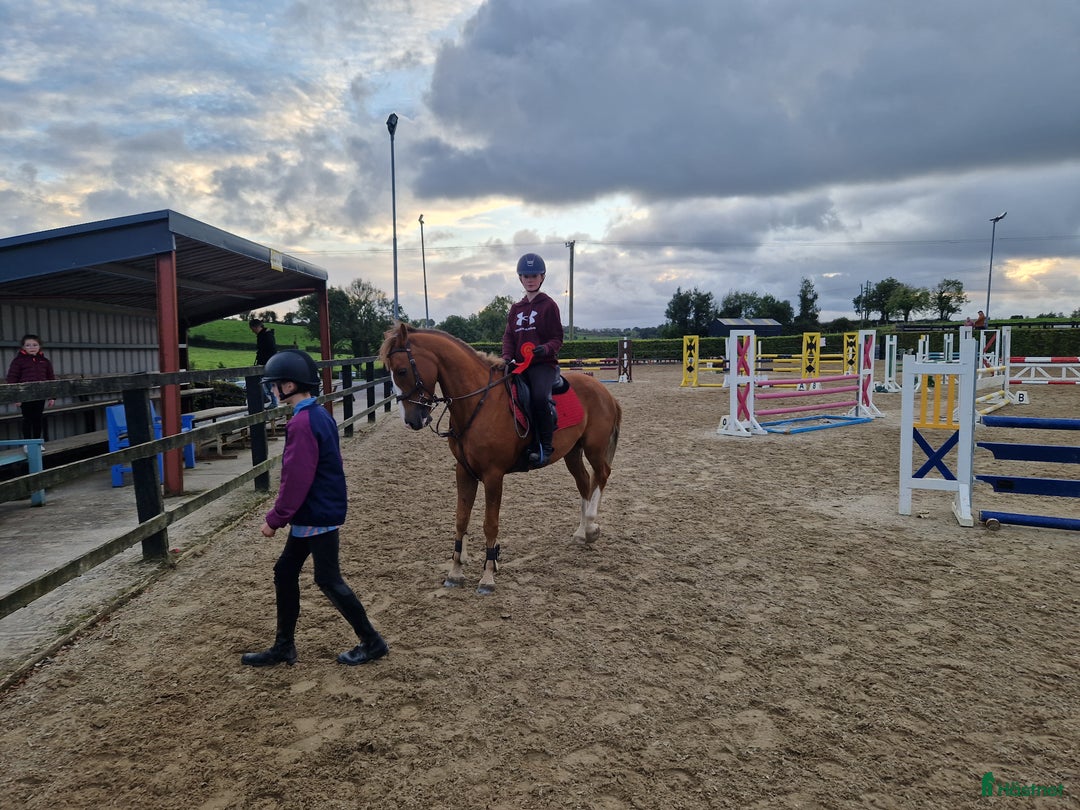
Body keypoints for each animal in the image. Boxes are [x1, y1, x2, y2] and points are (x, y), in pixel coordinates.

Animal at [379, 323, 622, 595]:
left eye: (402, 370)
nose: (411, 420)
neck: (478, 403)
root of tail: (604, 391)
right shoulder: (464, 471)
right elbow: (461, 519)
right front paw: (455, 572)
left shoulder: (493, 476)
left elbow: (490, 523)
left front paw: (487, 575)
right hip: (572, 452)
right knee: (584, 482)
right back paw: (581, 533)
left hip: (594, 448)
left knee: (601, 475)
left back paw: (590, 526)